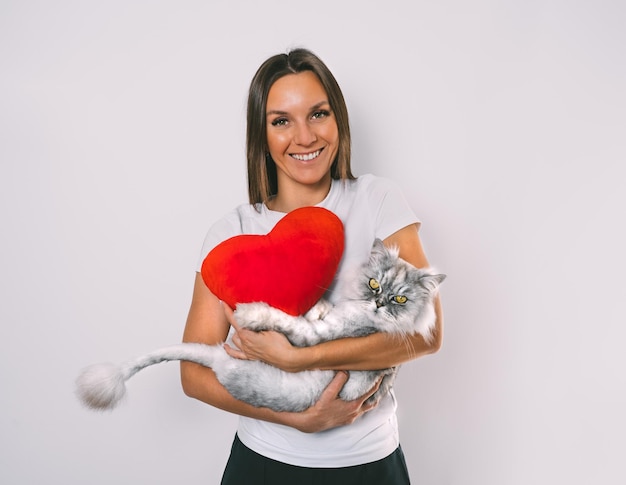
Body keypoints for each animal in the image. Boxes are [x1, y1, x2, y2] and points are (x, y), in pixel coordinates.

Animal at [74, 238, 444, 412]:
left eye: (400, 299)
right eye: (374, 284)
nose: (379, 304)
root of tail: (218, 360)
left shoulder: (314, 340)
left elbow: (286, 321)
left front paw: (250, 313)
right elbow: (315, 312)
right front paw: (319, 306)